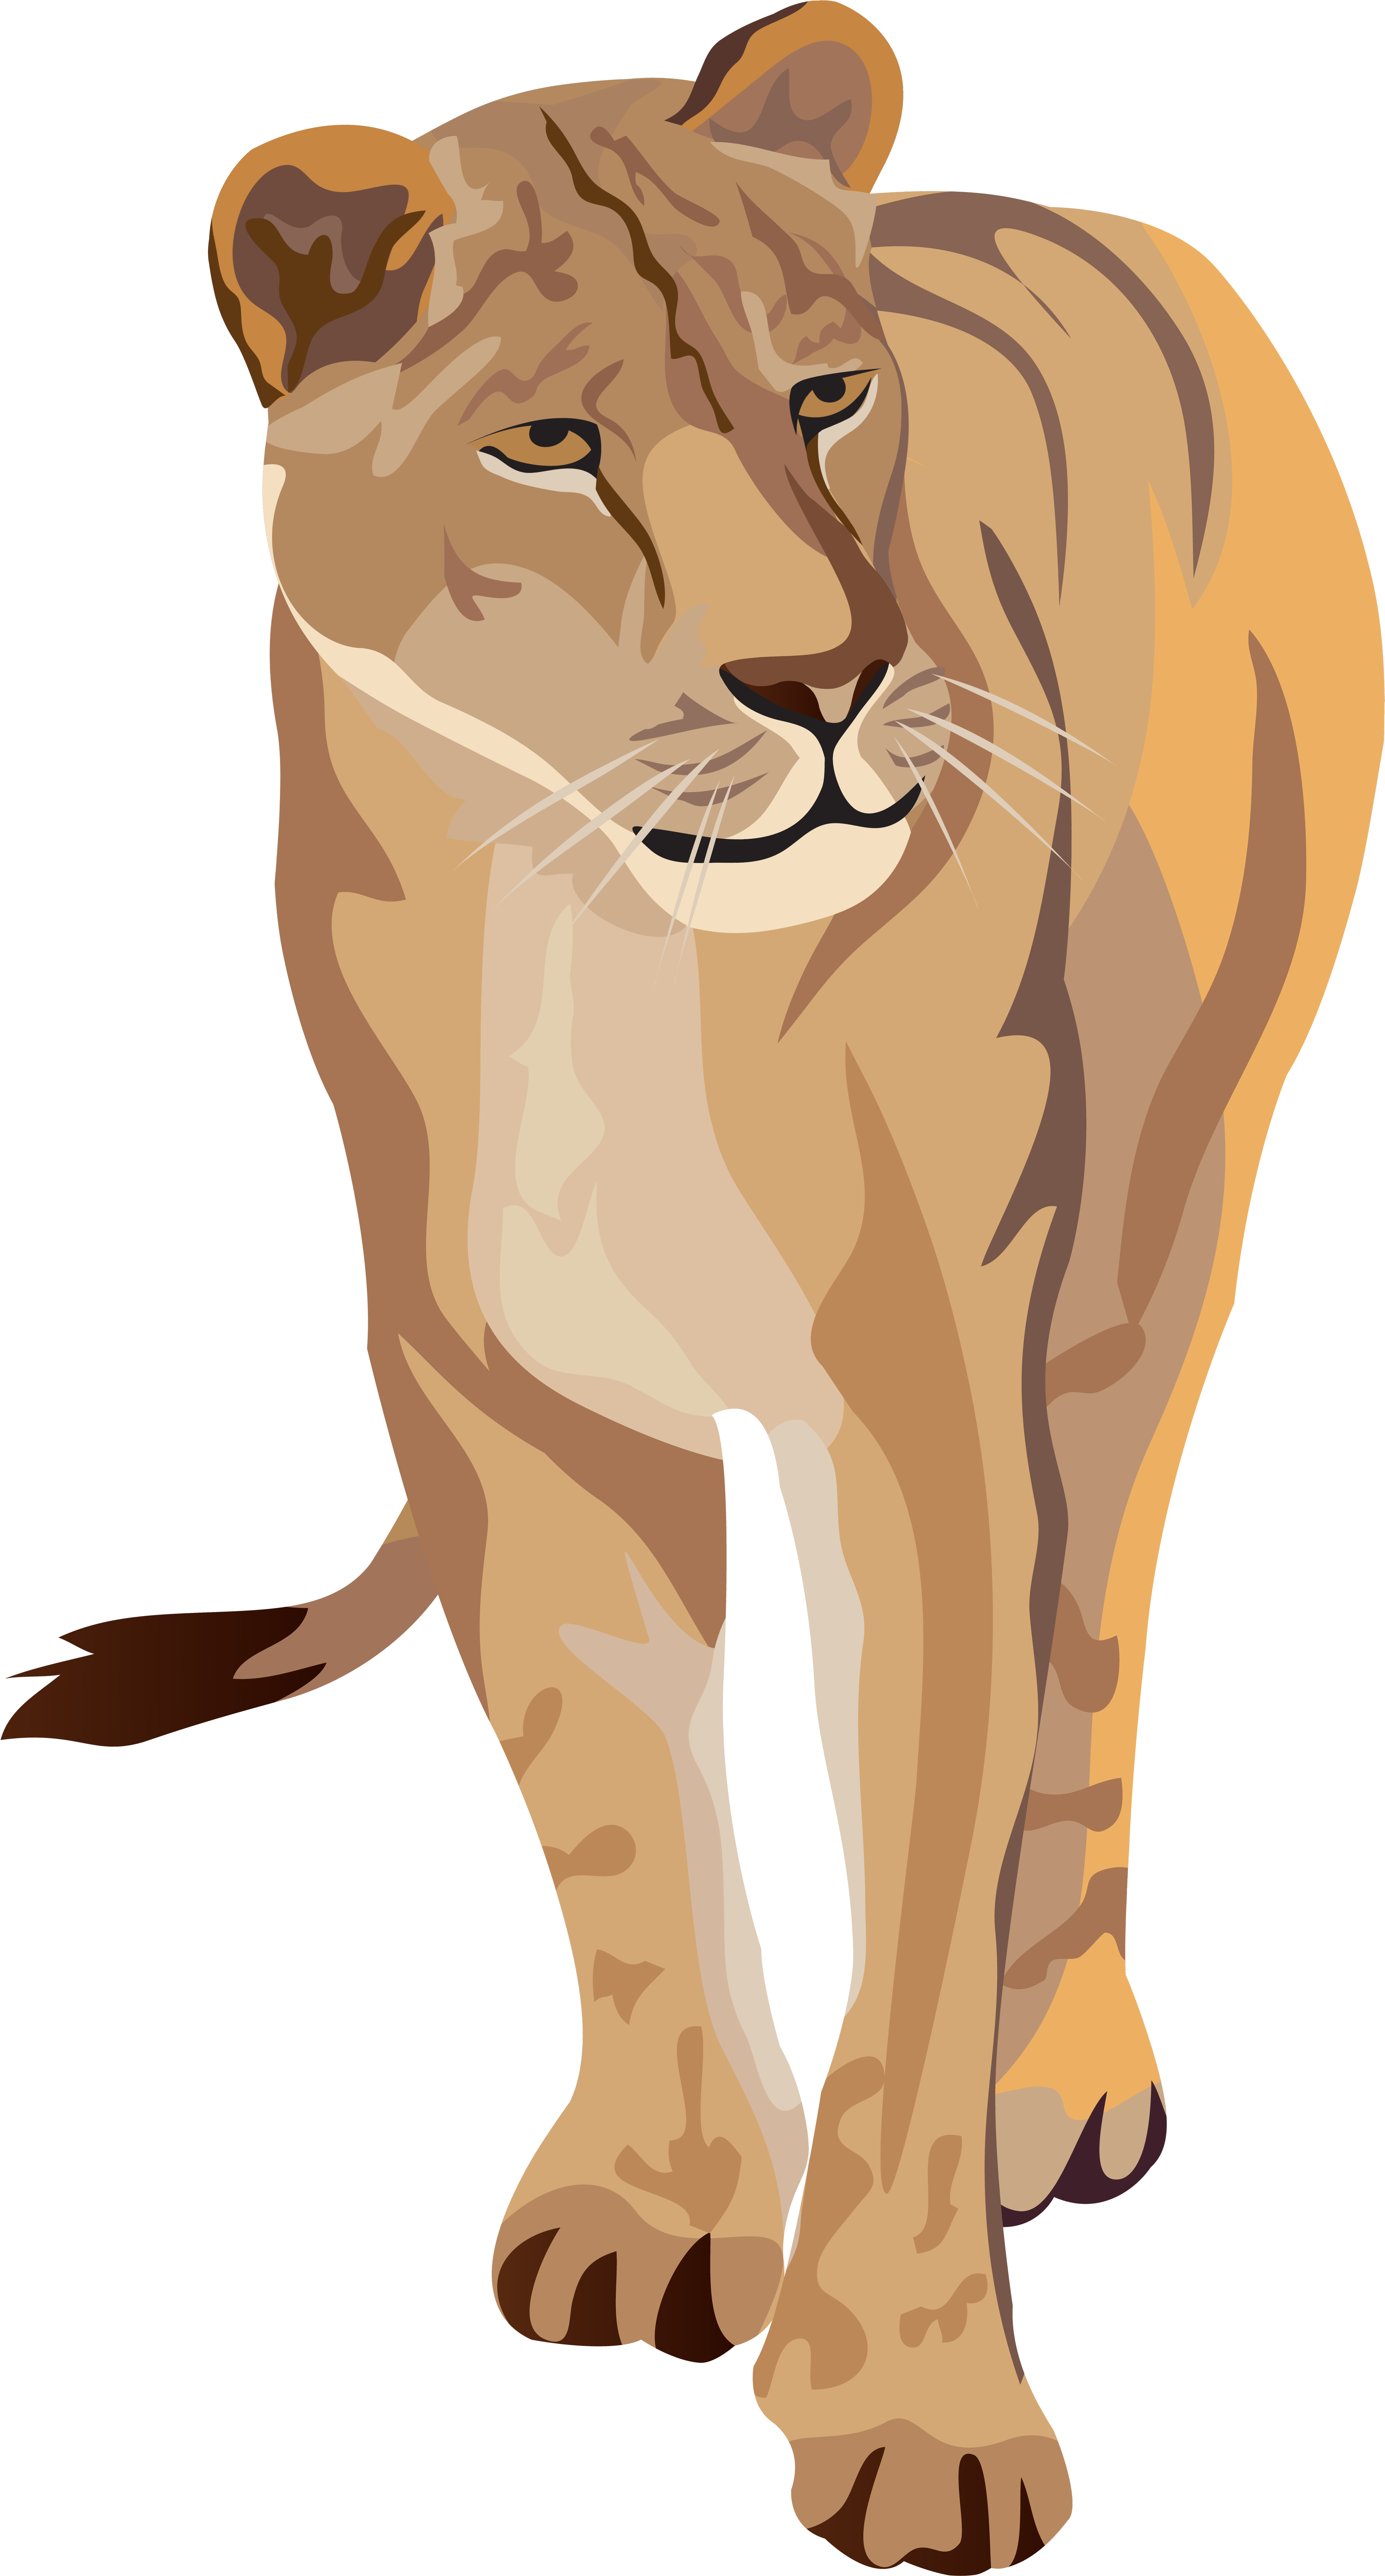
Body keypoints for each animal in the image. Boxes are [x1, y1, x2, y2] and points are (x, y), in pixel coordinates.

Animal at [9, 7, 1378, 2565]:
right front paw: (656, 2218)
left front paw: (915, 2408)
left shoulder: (920, 1425)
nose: (828, 679)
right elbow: (619, 1815)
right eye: (549, 448)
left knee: (1096, 1650)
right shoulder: (502, 1391)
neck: (602, 915)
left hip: (1156, 1231)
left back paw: (1062, 2080)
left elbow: (919, 1884)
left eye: (827, 396)